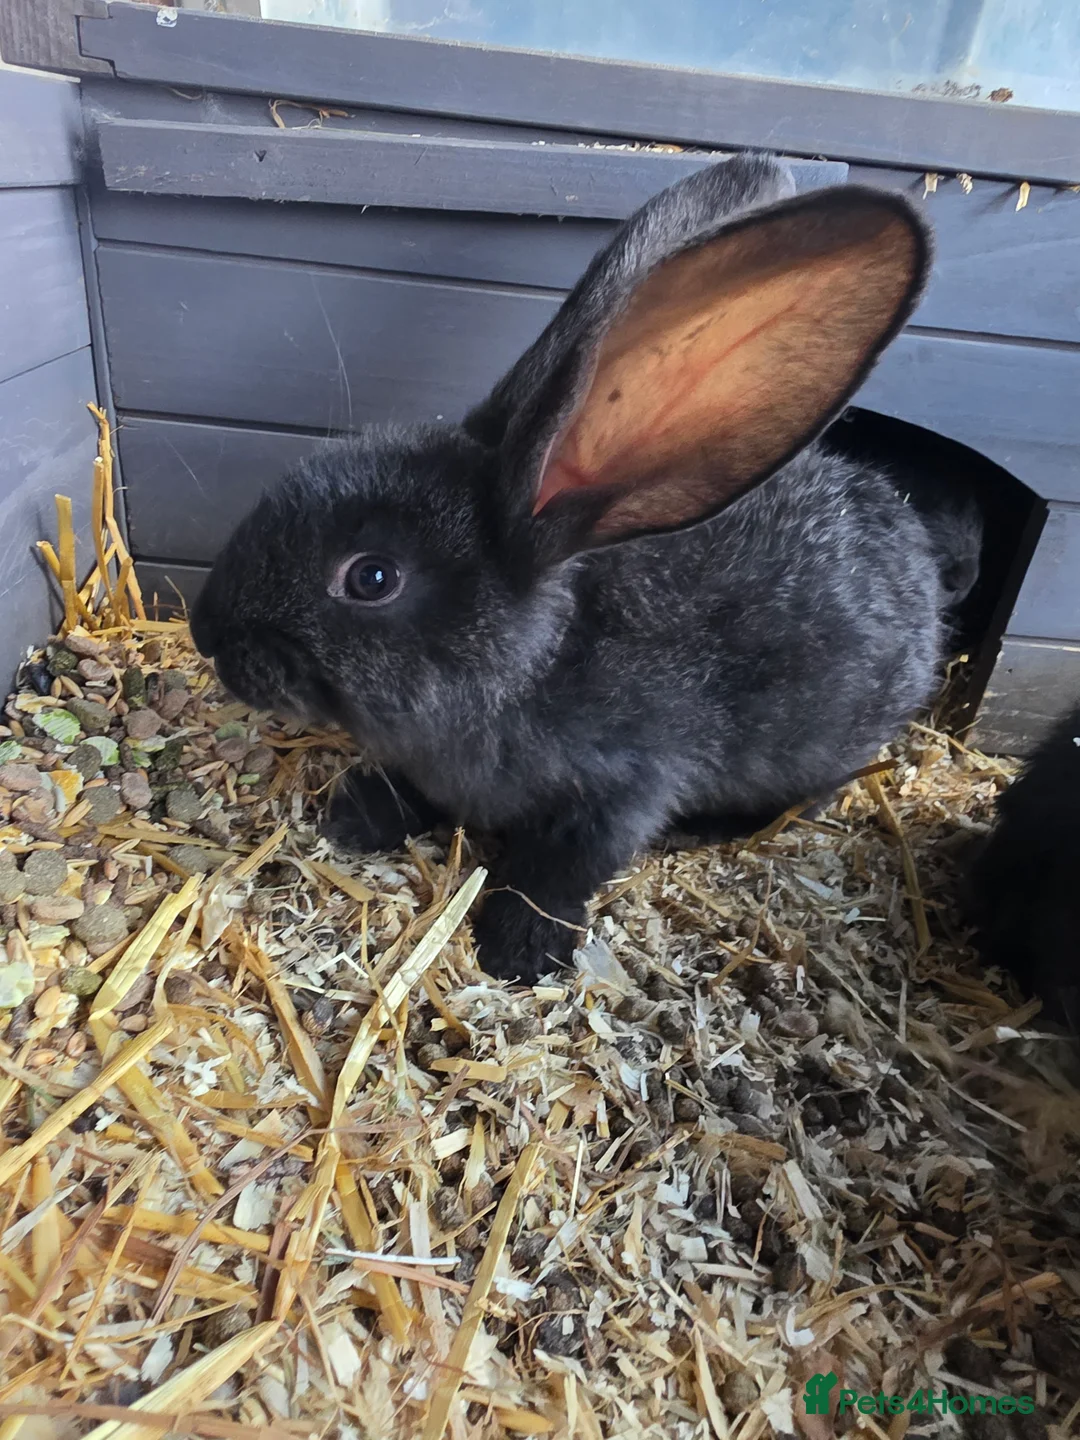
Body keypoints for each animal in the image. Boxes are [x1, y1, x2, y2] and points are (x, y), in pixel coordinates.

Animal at [191, 153, 974, 985]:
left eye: (371, 577)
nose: (208, 631)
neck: (526, 669)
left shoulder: (620, 790)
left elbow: (556, 872)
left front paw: (518, 951)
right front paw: (356, 816)